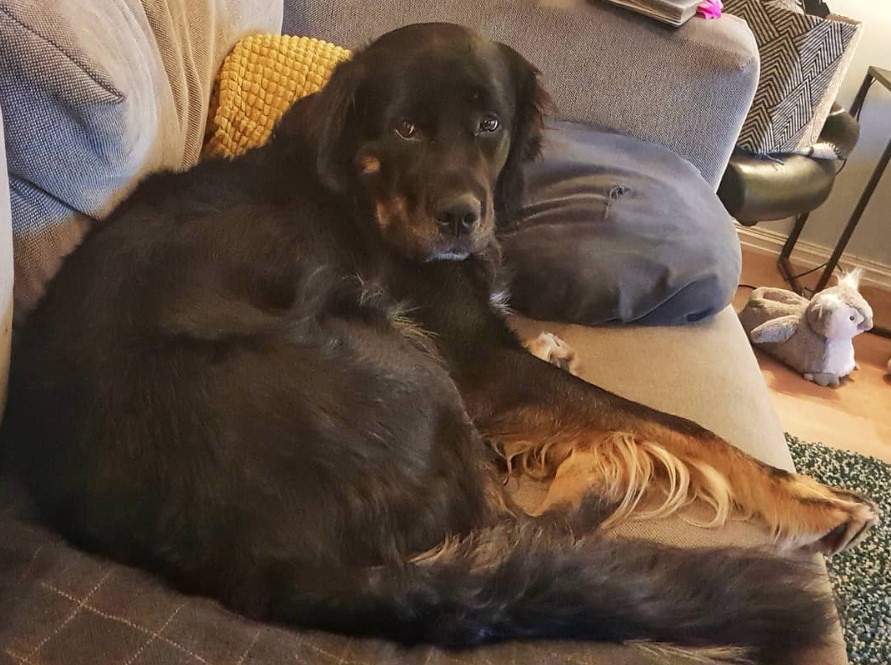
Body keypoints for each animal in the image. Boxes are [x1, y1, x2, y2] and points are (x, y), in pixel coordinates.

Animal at [3, 23, 876, 660]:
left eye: (489, 125)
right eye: (405, 128)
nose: (463, 216)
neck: (359, 195)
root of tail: (247, 560)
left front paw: (553, 350)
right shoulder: (476, 362)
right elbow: (679, 425)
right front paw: (813, 498)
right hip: (391, 350)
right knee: (510, 526)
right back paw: (598, 469)